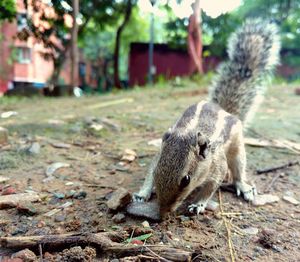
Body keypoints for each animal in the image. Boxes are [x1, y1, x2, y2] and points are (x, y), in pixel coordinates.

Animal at [132, 19, 280, 218]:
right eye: (158, 172)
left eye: (186, 180)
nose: (163, 212)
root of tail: (222, 108)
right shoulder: (157, 158)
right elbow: (148, 173)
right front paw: (143, 193)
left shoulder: (217, 167)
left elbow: (210, 188)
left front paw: (198, 204)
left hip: (237, 148)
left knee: (239, 169)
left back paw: (244, 186)